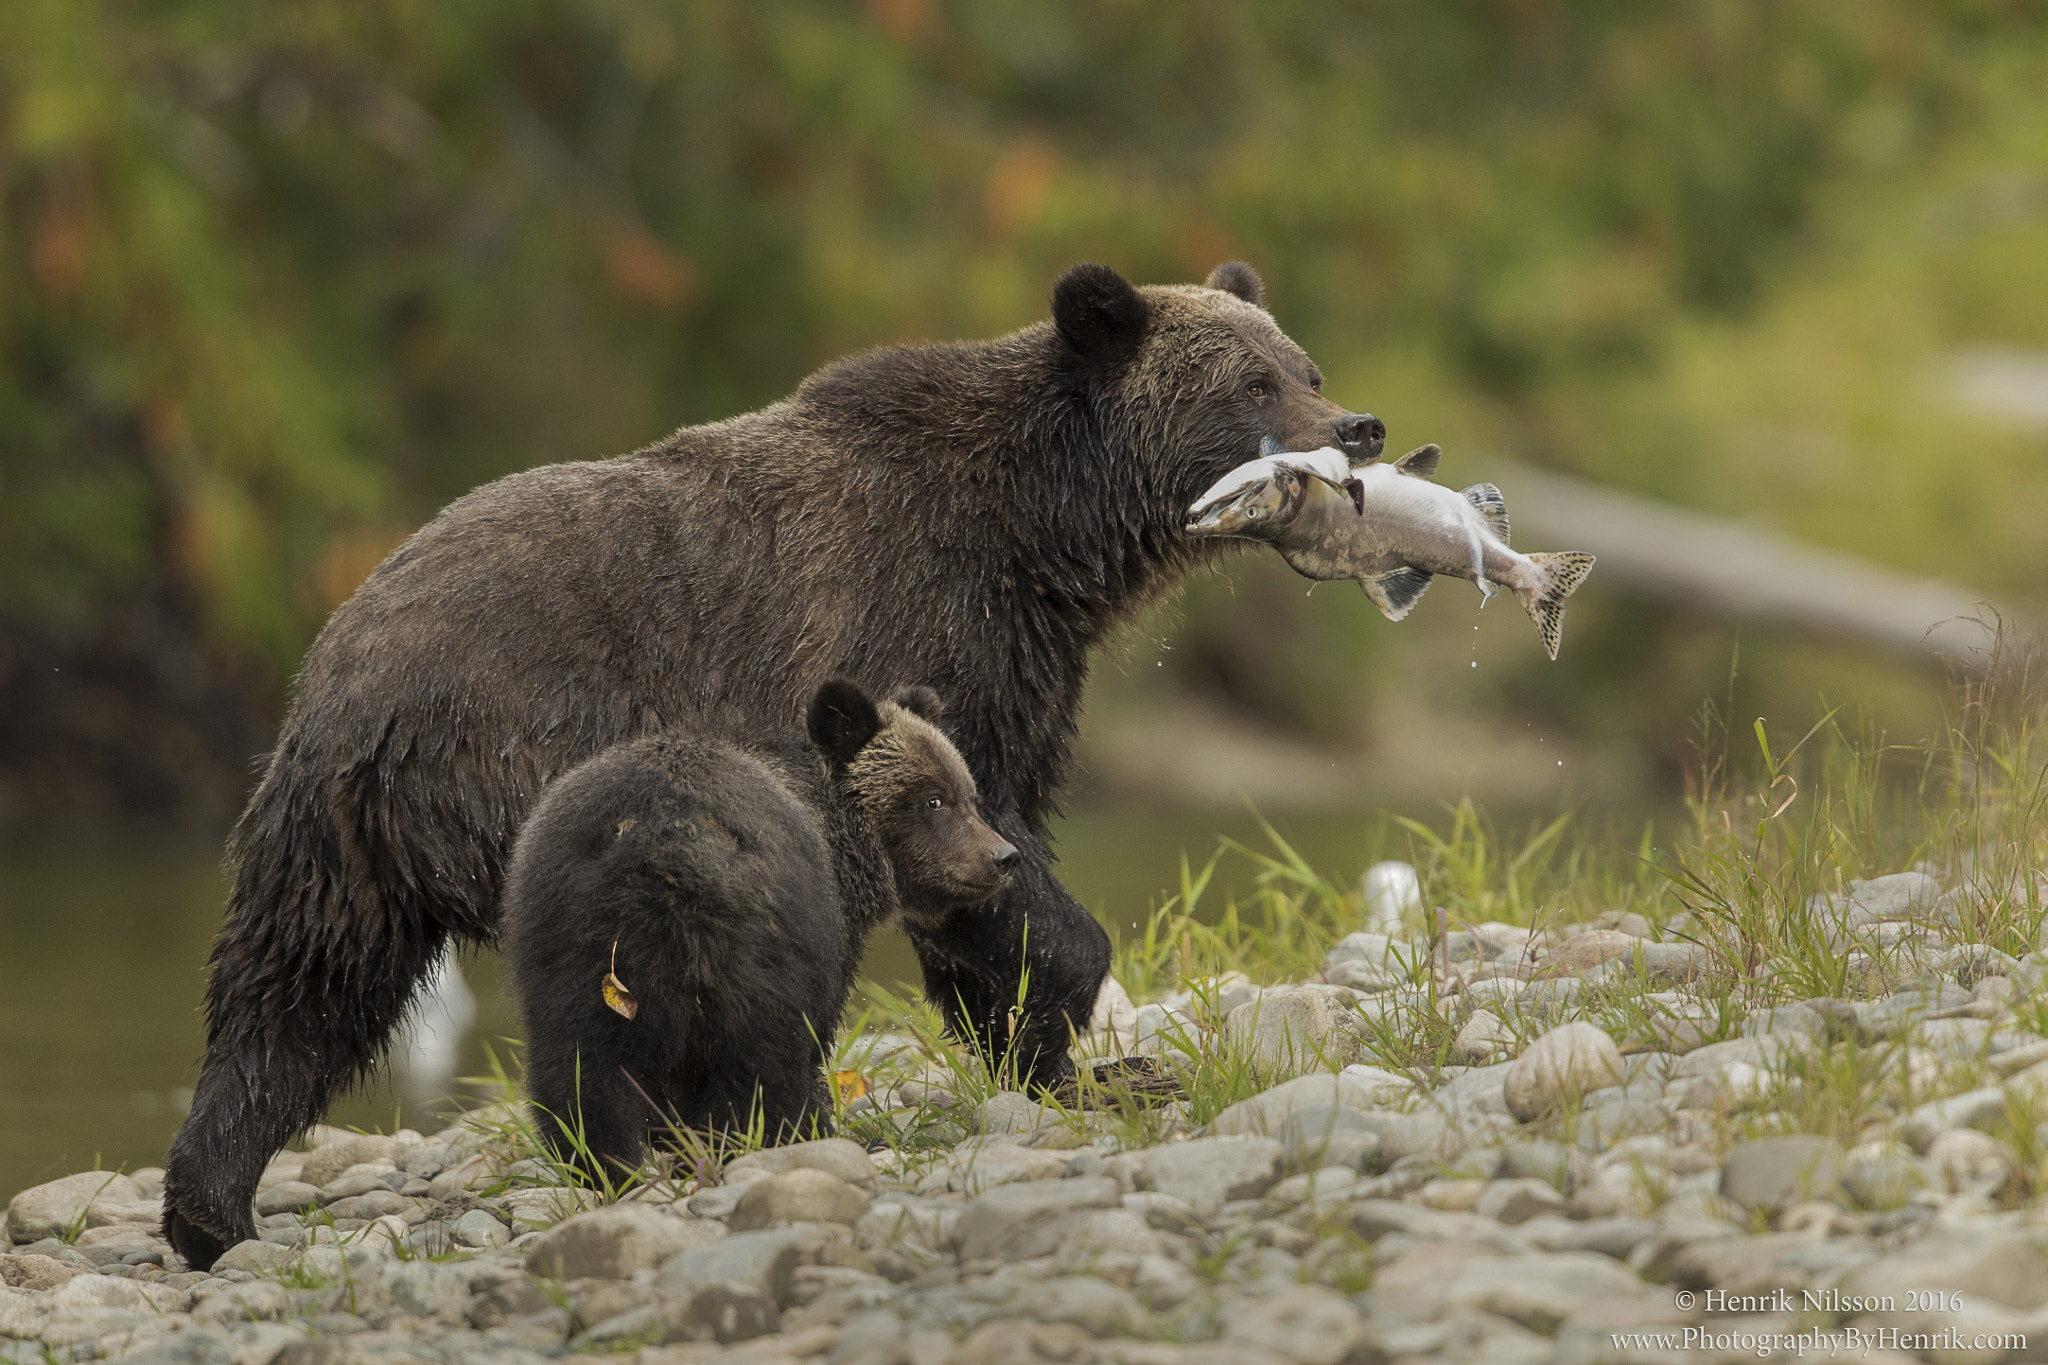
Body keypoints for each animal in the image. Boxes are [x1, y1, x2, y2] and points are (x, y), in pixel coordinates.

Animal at [503, 675, 1015, 1178]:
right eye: (934, 799)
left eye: (969, 794)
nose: (1003, 855)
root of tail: (660, 845)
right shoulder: (824, 928)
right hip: (753, 943)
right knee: (763, 1057)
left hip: (568, 938)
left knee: (578, 1066)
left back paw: (599, 1161)